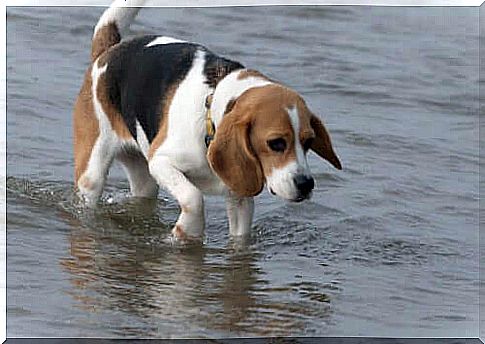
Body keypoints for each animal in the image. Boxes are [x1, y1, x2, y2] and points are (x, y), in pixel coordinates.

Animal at [73, 0, 342, 242]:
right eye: (276, 143)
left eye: (308, 142)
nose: (306, 184)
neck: (211, 111)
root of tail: (108, 53)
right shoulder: (161, 162)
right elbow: (193, 197)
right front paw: (188, 230)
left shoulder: (240, 193)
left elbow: (240, 237)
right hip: (94, 172)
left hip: (144, 179)